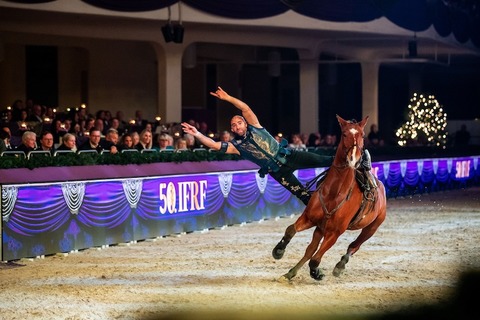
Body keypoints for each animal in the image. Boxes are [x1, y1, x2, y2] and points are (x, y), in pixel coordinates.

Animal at [272, 114, 388, 280]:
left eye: (362, 135)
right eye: (344, 134)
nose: (354, 158)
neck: (334, 193)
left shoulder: (334, 233)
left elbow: (315, 259)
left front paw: (317, 272)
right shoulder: (310, 219)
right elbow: (291, 230)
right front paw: (279, 250)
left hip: (371, 228)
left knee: (354, 246)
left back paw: (340, 265)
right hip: (320, 228)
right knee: (311, 249)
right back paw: (291, 272)